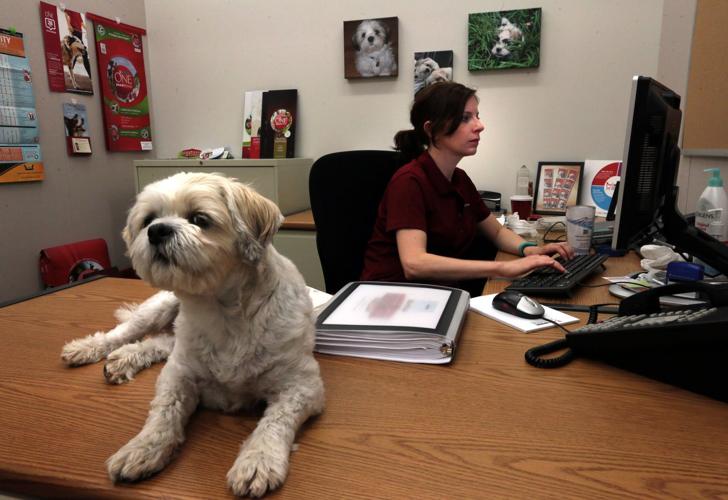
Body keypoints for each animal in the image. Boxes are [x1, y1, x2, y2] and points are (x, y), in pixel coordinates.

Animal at [62, 172, 324, 496]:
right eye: (149, 219)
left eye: (199, 218)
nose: (157, 230)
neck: (220, 313)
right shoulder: (178, 374)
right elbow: (164, 412)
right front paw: (142, 447)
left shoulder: (302, 386)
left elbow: (275, 422)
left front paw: (258, 460)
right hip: (160, 309)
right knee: (127, 331)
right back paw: (90, 348)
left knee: (160, 342)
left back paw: (125, 359)